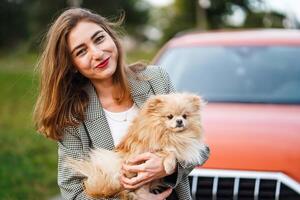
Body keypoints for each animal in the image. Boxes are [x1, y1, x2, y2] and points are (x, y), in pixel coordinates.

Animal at [67, 93, 209, 200]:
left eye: (185, 116)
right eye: (170, 116)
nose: (179, 121)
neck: (170, 134)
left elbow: (173, 152)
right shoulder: (143, 151)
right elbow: (168, 152)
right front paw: (169, 166)